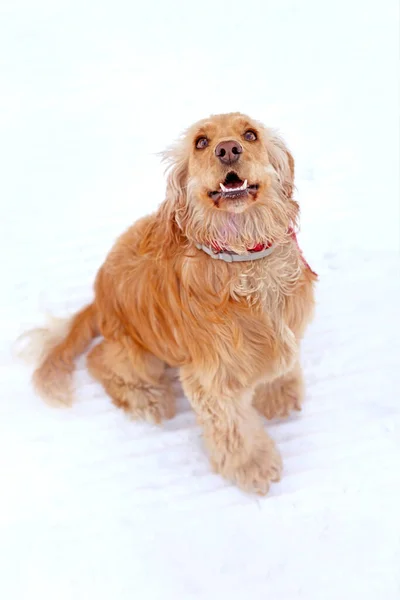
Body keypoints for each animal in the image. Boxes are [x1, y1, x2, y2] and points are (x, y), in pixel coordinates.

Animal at [22, 113, 316, 496]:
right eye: (201, 143)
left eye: (250, 134)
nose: (228, 149)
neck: (242, 259)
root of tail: (97, 301)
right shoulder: (212, 377)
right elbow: (233, 429)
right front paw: (253, 467)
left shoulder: (285, 332)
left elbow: (281, 366)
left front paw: (278, 395)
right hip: (140, 356)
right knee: (98, 359)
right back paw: (149, 399)